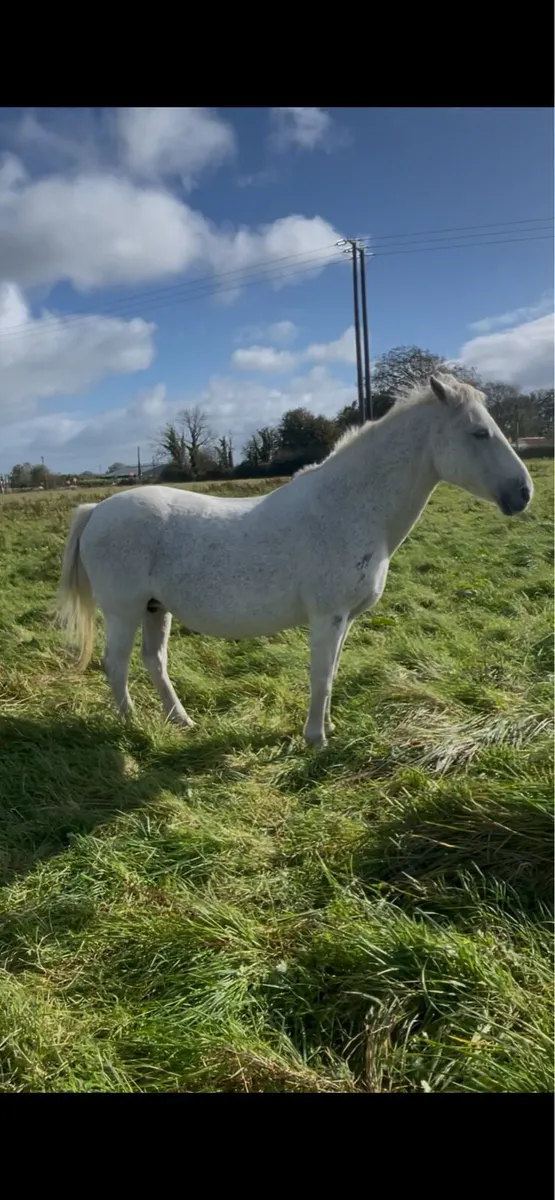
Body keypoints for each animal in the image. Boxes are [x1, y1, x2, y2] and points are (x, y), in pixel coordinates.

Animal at [57, 373, 533, 747]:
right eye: (479, 433)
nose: (523, 493)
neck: (348, 506)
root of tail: (98, 509)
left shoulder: (345, 619)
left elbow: (332, 672)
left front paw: (329, 728)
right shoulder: (328, 616)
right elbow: (320, 676)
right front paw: (316, 740)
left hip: (156, 609)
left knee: (154, 662)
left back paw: (182, 721)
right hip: (124, 611)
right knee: (115, 665)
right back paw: (131, 726)